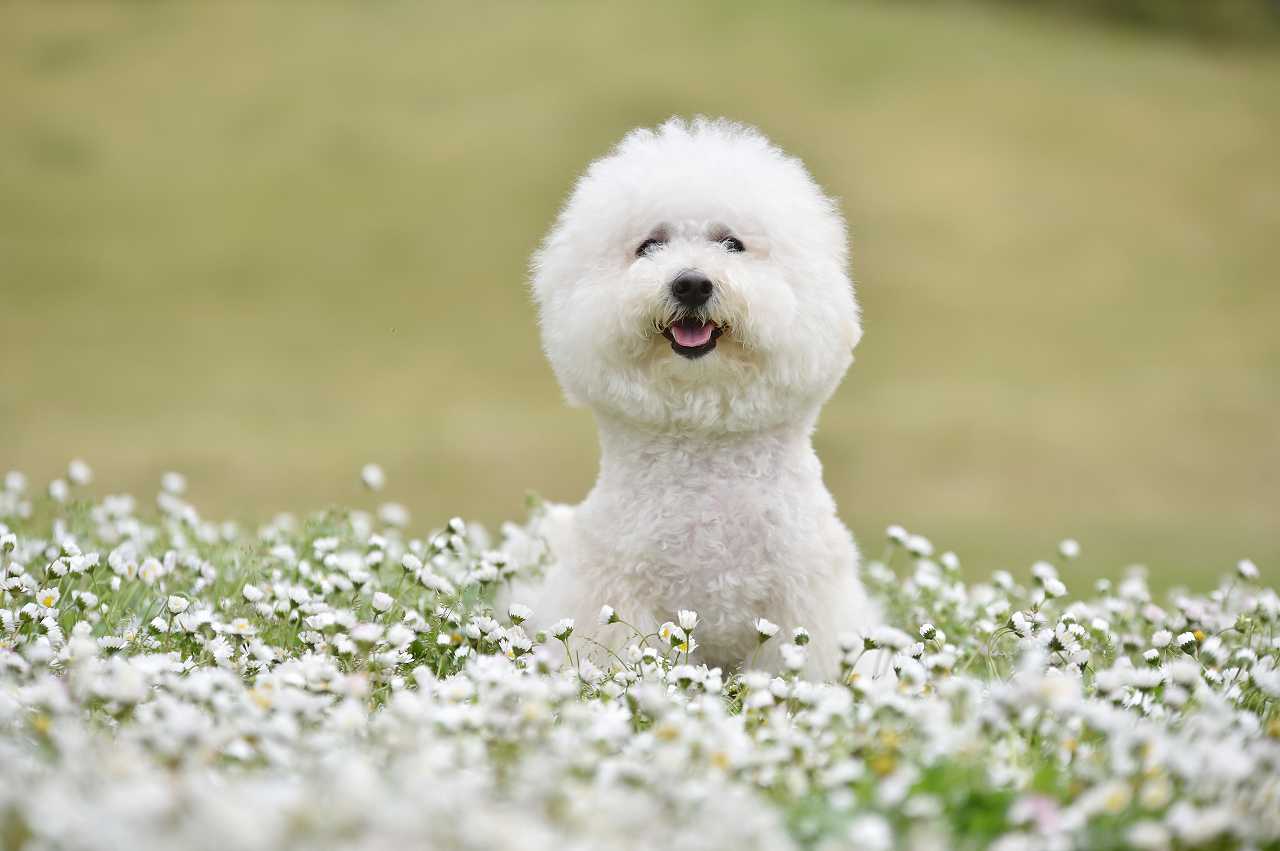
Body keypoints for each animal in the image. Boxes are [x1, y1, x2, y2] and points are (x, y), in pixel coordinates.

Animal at [519, 117, 880, 675]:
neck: (704, 436)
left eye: (731, 242)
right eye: (649, 245)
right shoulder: (615, 596)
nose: (691, 284)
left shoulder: (804, 598)